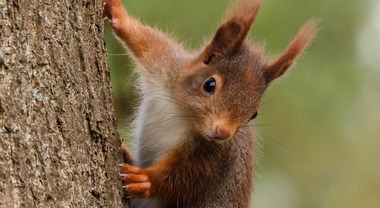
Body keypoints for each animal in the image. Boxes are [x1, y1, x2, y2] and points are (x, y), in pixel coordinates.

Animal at [102, 0, 316, 206]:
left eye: (253, 114)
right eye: (210, 84)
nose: (223, 133)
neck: (182, 111)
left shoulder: (216, 156)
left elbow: (185, 179)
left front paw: (146, 180)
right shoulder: (165, 64)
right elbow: (146, 40)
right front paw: (117, 13)